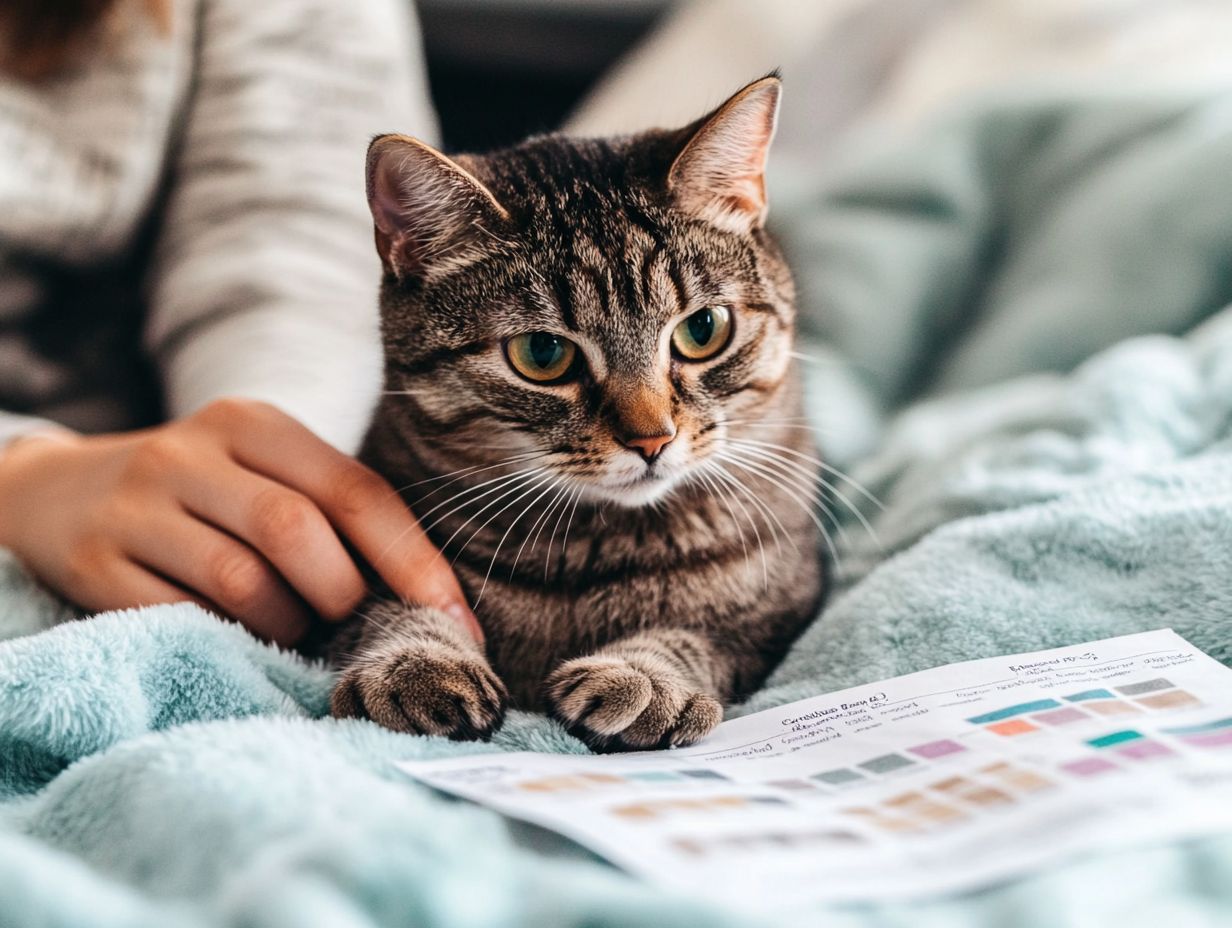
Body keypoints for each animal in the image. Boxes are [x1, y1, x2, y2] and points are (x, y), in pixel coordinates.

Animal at [330, 74, 827, 754]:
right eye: (543, 353)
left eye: (703, 329)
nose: (652, 439)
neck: (592, 551)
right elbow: (393, 606)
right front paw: (417, 662)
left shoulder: (781, 609)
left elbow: (698, 634)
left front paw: (643, 674)